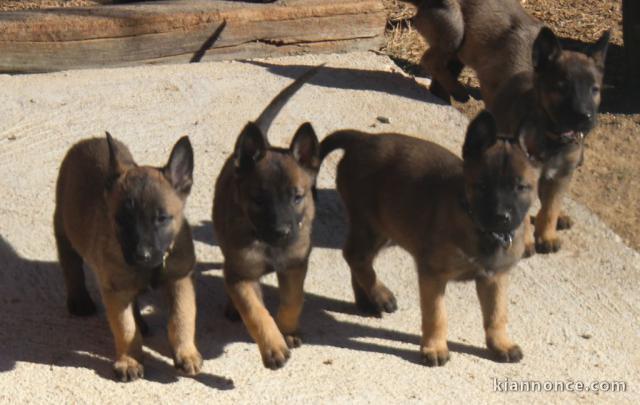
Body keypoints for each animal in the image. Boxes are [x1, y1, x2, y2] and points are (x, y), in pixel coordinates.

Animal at [54, 132, 201, 378]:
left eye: (162, 218)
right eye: (122, 219)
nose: (142, 255)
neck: (150, 268)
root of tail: (89, 140)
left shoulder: (180, 280)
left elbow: (182, 317)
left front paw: (186, 353)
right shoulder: (115, 289)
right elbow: (125, 327)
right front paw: (130, 361)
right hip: (64, 227)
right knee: (70, 264)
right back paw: (79, 300)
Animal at [214, 64, 322, 370]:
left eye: (297, 196)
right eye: (259, 200)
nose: (281, 232)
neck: (268, 245)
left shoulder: (295, 264)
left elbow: (293, 299)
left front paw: (287, 330)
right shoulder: (242, 274)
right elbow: (255, 311)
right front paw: (273, 346)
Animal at [320, 111, 540, 366]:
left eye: (521, 187)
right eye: (482, 186)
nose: (501, 217)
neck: (475, 224)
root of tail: (362, 139)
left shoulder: (495, 277)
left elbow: (497, 314)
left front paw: (501, 344)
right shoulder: (433, 275)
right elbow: (437, 315)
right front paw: (435, 348)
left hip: (387, 228)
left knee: (358, 258)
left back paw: (366, 301)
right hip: (371, 225)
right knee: (355, 257)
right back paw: (380, 294)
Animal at [490, 26, 608, 252]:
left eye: (594, 89)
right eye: (563, 87)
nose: (585, 117)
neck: (554, 136)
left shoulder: (561, 175)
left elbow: (551, 207)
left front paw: (547, 235)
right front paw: (527, 240)